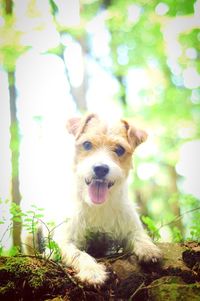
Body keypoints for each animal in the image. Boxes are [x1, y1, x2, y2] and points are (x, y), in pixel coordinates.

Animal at [52, 112, 162, 284]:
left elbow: (140, 236)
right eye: (87, 144)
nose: (100, 168)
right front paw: (92, 272)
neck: (98, 206)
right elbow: (79, 254)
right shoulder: (64, 241)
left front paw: (148, 249)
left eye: (119, 149)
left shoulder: (131, 227)